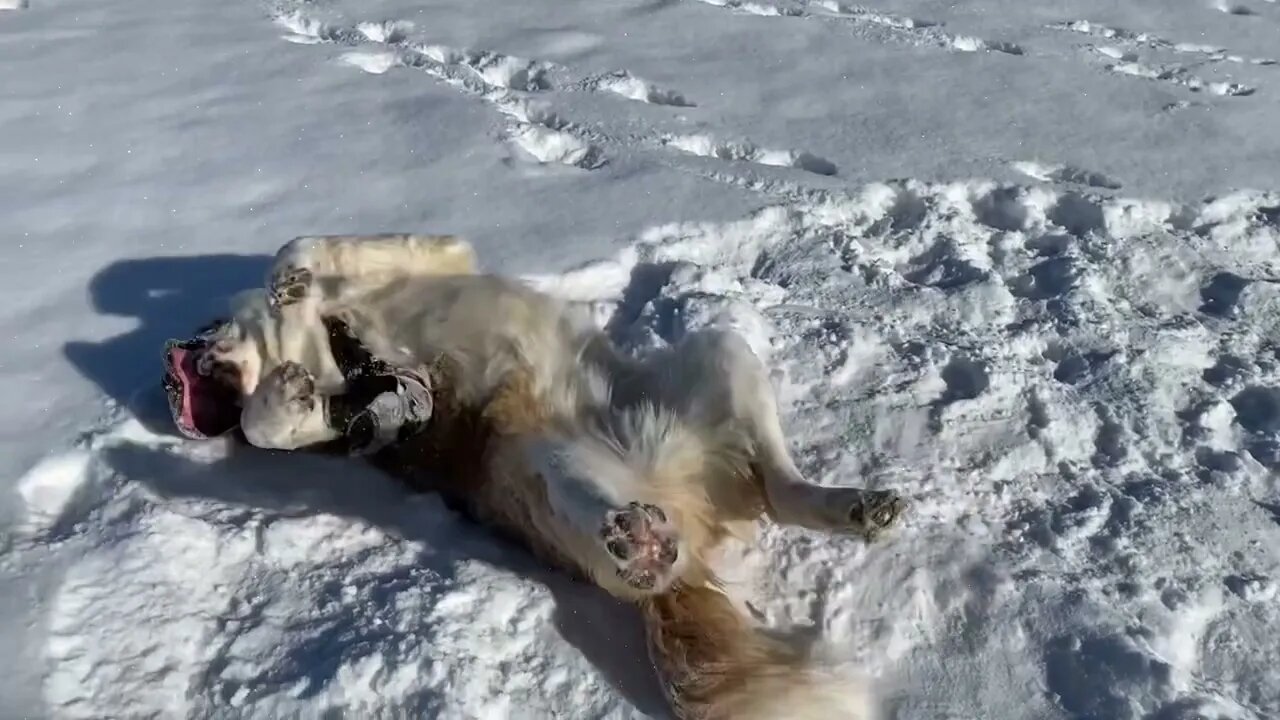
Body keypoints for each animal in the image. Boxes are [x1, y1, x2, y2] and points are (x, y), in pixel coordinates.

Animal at [162, 233, 911, 712]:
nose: (178, 383)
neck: (312, 344)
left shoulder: (433, 256)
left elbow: (302, 248)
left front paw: (293, 285)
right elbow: (280, 420)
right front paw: (288, 398)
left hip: (717, 353)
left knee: (778, 487)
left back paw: (855, 508)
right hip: (542, 463)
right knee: (690, 520)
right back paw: (644, 545)